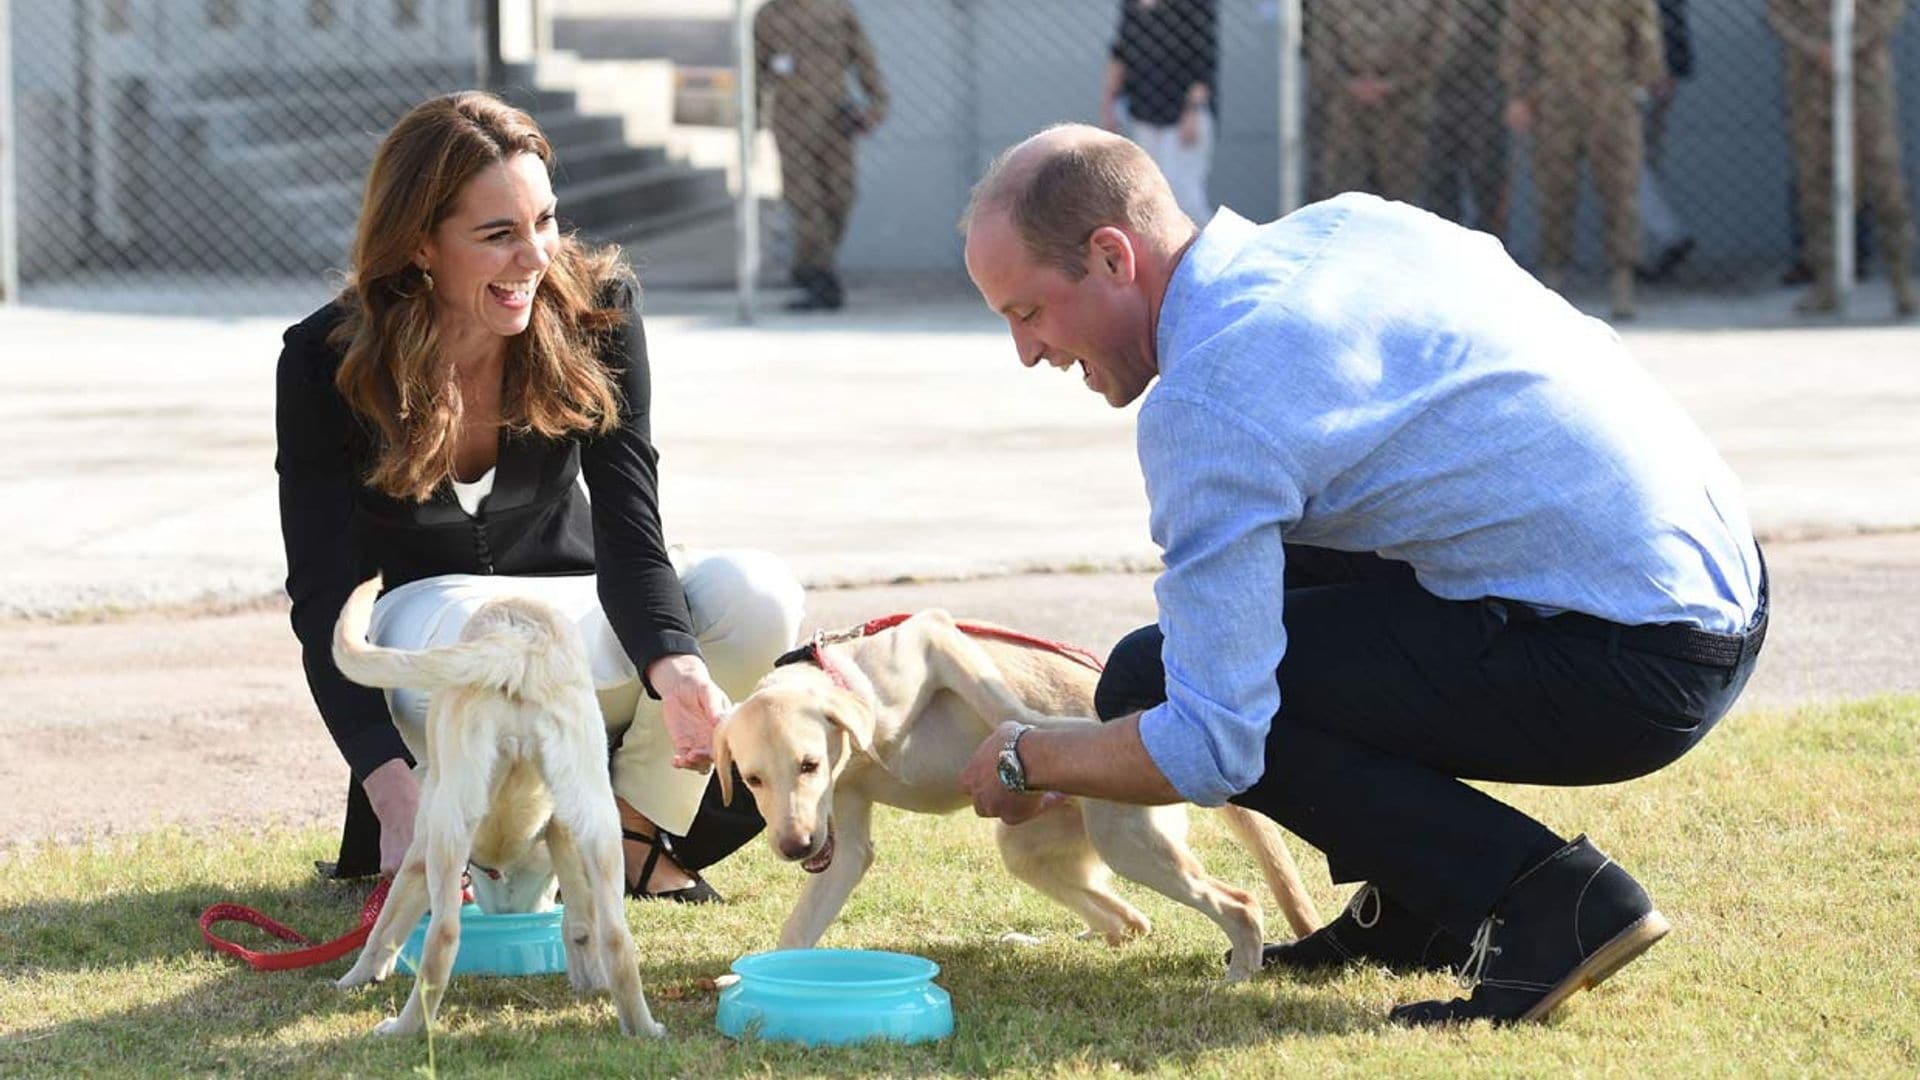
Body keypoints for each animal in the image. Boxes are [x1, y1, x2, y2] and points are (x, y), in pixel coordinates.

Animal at [326, 572, 664, 1037]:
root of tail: (519, 642)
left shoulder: (419, 848)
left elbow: (385, 925)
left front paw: (355, 977)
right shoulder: (561, 829)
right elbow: (580, 922)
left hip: (450, 821)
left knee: (443, 937)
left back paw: (403, 1027)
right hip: (597, 816)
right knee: (616, 935)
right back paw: (643, 1028)